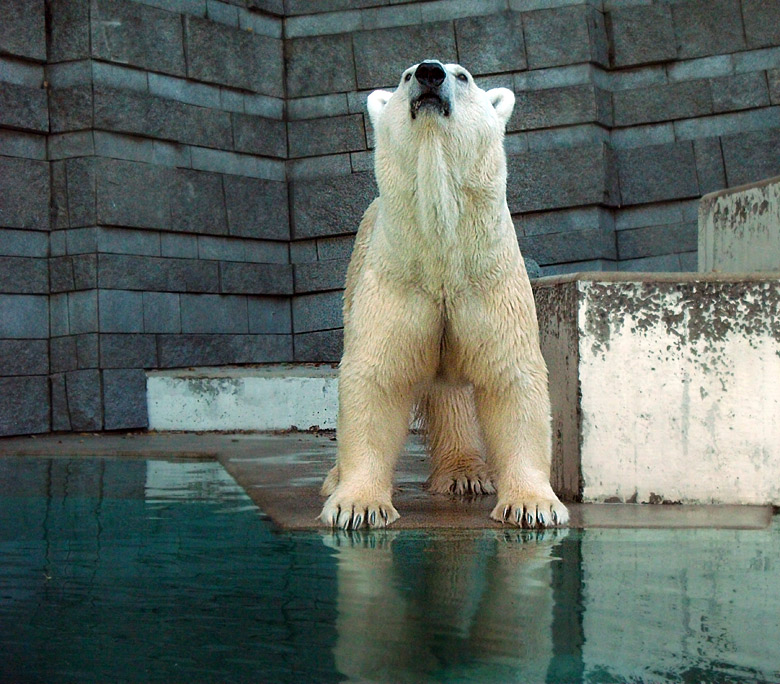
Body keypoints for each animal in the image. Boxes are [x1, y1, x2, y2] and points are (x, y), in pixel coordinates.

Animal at [320, 60, 568, 528]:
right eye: (404, 76)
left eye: (463, 75)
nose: (429, 73)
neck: (442, 255)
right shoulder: (396, 280)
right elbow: (375, 377)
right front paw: (358, 505)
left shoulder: (489, 281)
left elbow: (510, 376)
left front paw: (533, 505)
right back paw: (335, 479)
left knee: (454, 392)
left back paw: (466, 474)